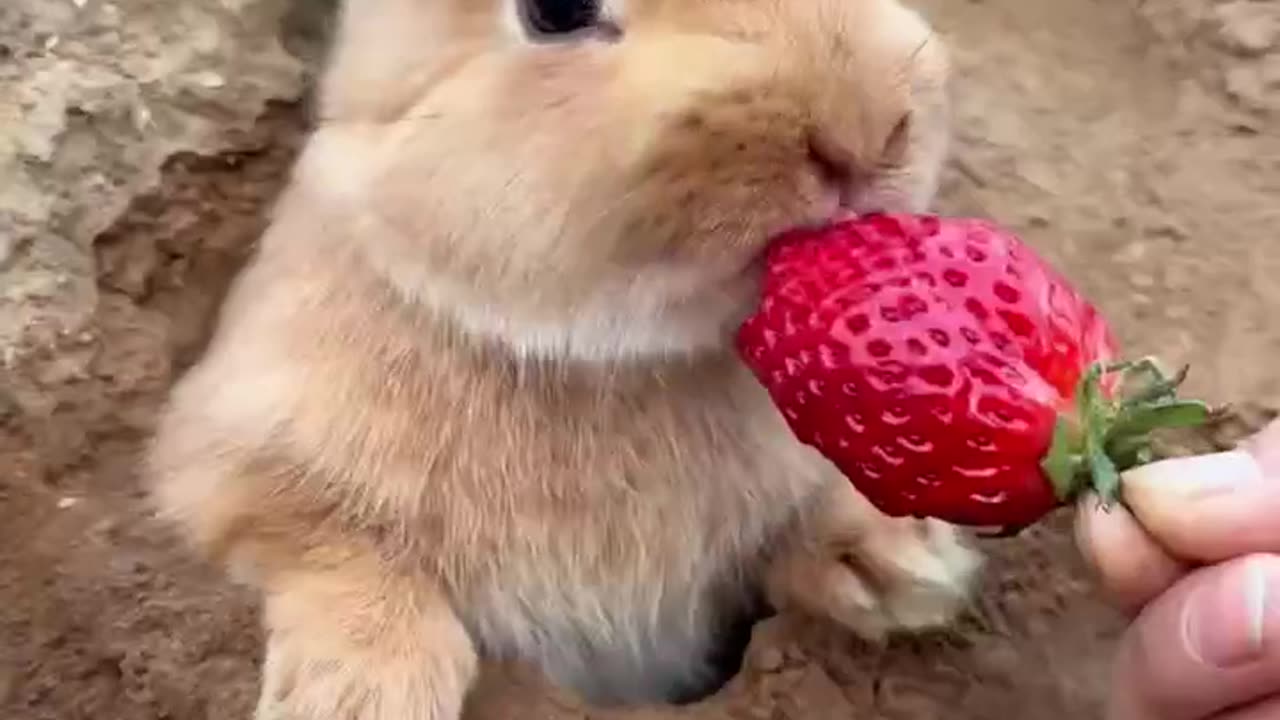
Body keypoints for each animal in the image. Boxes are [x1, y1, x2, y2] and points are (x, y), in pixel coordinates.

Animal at [145, 0, 977, 712]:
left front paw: (899, 562)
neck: (606, 354)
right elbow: (322, 547)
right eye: (557, 11)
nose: (868, 131)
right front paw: (361, 691)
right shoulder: (232, 457)